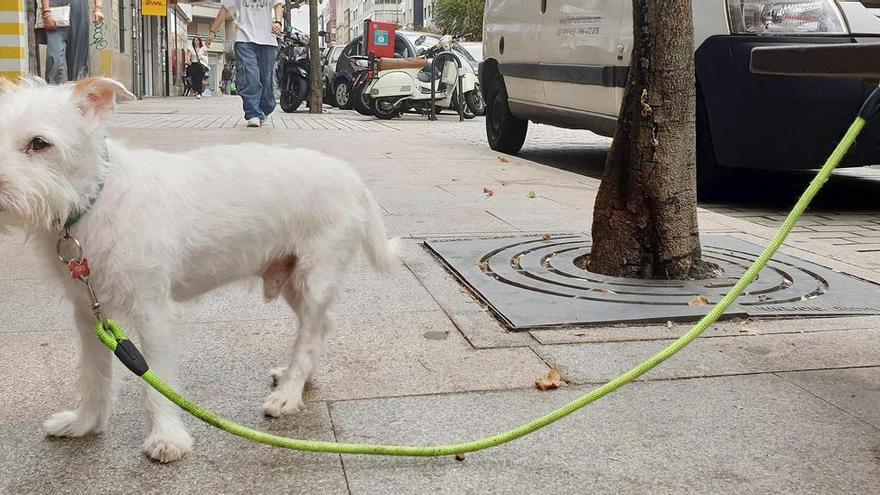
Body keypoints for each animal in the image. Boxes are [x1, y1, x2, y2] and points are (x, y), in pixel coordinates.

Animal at [0, 77, 398, 464]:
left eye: (39, 144)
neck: (94, 200)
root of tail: (351, 178)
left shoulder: (152, 310)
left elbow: (156, 380)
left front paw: (166, 437)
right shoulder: (89, 313)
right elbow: (93, 376)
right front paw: (85, 423)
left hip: (315, 277)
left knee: (311, 333)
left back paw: (288, 393)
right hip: (292, 279)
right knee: (320, 326)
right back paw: (297, 379)